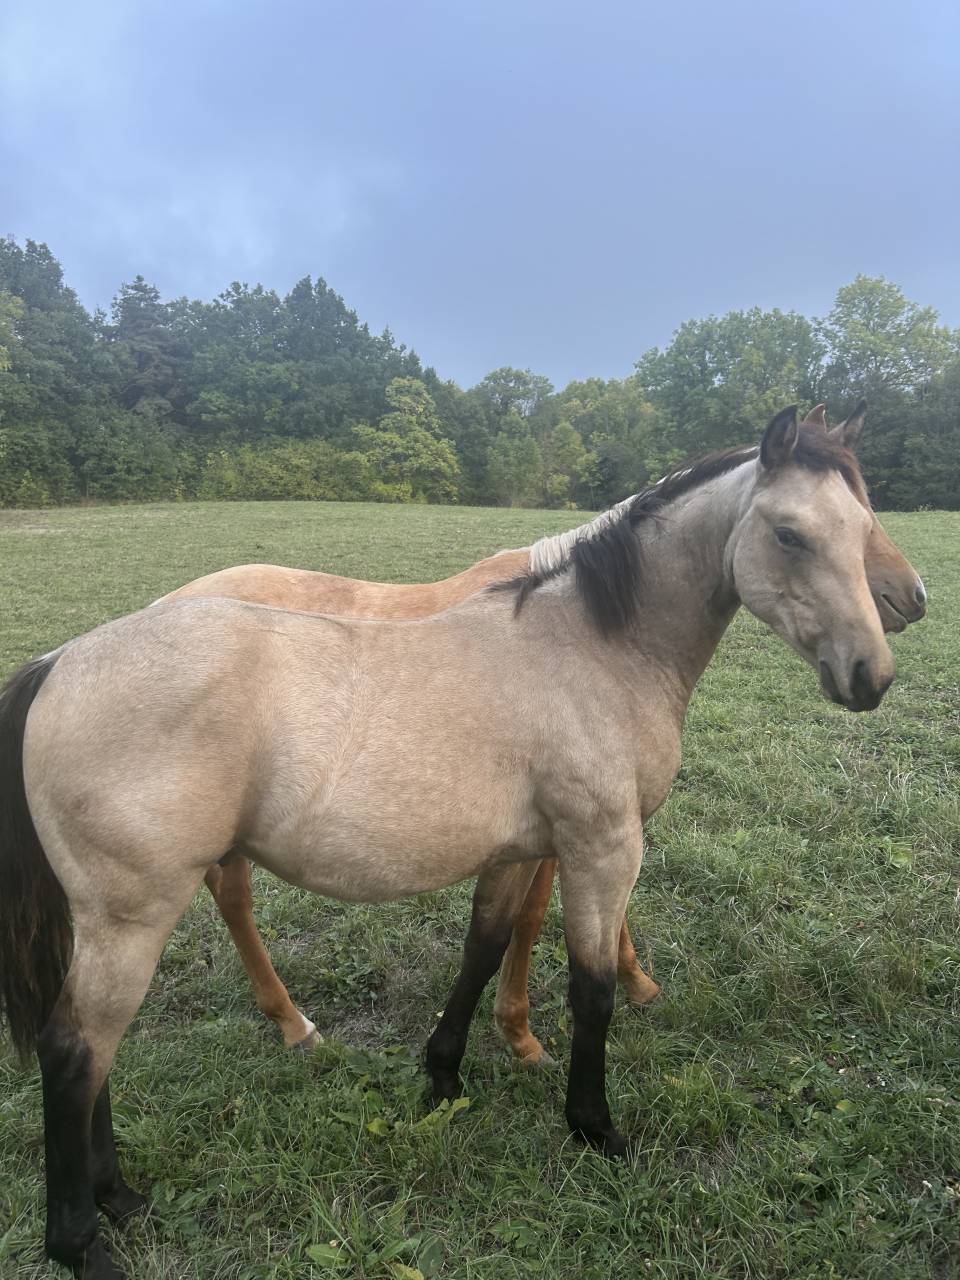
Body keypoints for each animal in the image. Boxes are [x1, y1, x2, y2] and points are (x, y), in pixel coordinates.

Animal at [157, 402, 926, 1064]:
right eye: (791, 535)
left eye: (865, 518)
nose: (908, 606)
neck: (594, 634)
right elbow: (531, 923)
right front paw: (524, 1032)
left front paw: (626, 985)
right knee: (233, 898)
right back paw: (292, 1020)